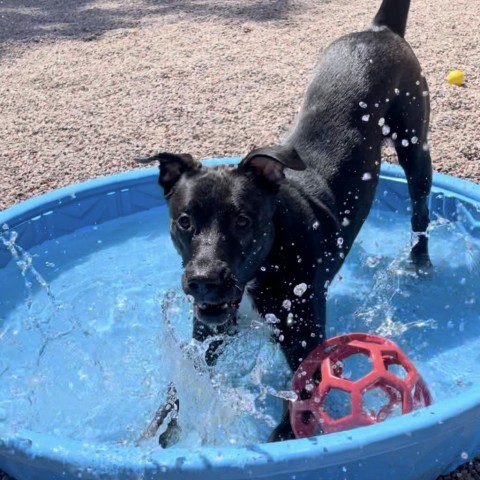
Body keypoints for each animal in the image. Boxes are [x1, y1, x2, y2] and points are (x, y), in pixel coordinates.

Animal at [137, 0, 434, 442]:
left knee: (420, 208)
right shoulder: (207, 333)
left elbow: (302, 399)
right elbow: (184, 383)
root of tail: (379, 30)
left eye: (243, 221)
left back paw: (420, 260)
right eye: (185, 222)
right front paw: (159, 424)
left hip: (414, 143)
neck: (267, 260)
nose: (204, 280)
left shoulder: (304, 338)